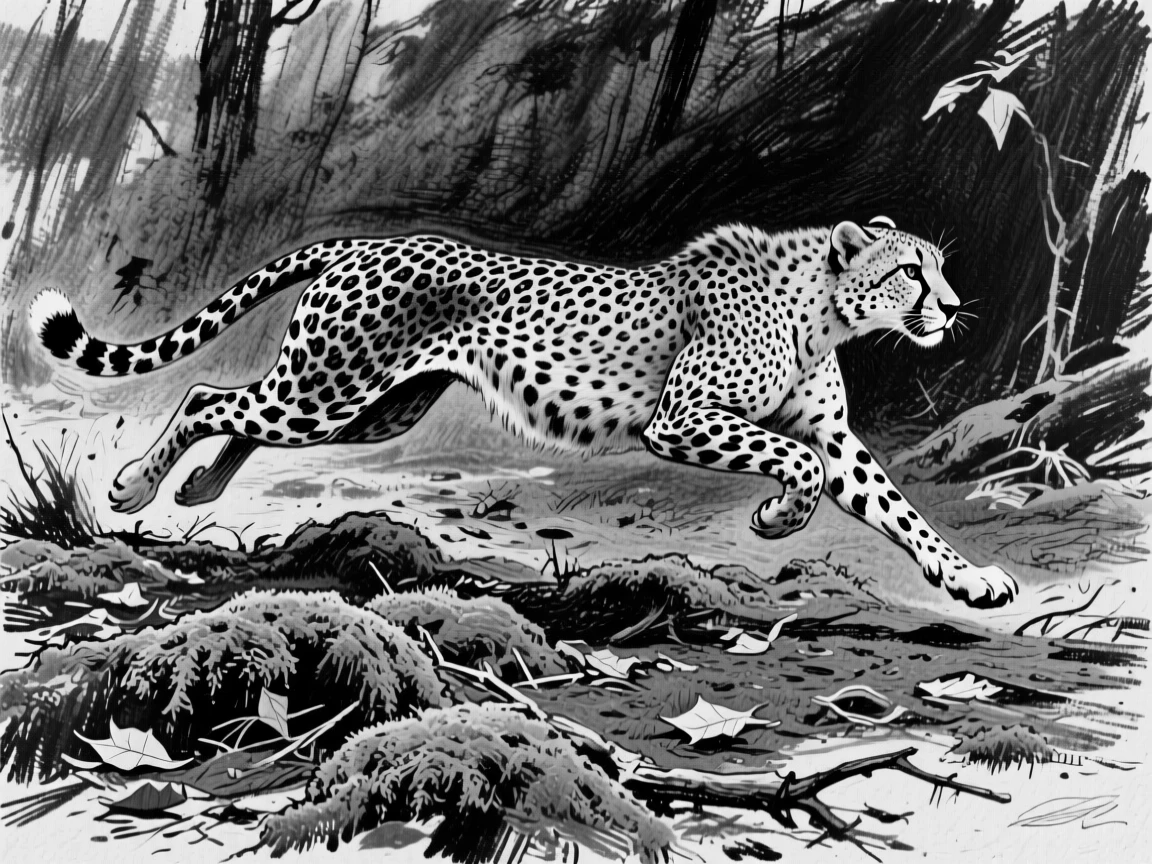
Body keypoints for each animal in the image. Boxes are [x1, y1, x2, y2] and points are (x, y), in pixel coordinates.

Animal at [28, 218, 1018, 607]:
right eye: (910, 271)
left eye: (938, 267)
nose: (953, 306)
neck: (825, 311)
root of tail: (374, 239)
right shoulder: (683, 417)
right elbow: (798, 465)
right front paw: (777, 517)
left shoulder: (839, 437)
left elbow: (896, 508)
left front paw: (971, 580)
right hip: (327, 390)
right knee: (208, 395)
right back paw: (134, 485)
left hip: (365, 407)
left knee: (229, 408)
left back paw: (194, 490)